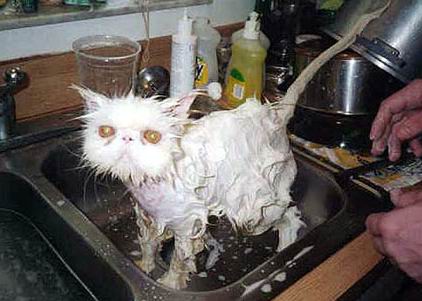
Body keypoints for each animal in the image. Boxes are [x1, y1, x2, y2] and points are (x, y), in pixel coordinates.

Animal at [77, 87, 304, 288]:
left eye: (152, 136)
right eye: (106, 131)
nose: (127, 138)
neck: (157, 180)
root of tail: (275, 117)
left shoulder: (187, 226)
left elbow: (179, 261)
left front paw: (171, 283)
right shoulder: (146, 215)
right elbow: (148, 245)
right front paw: (144, 266)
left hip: (259, 210)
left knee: (289, 216)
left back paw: (285, 247)